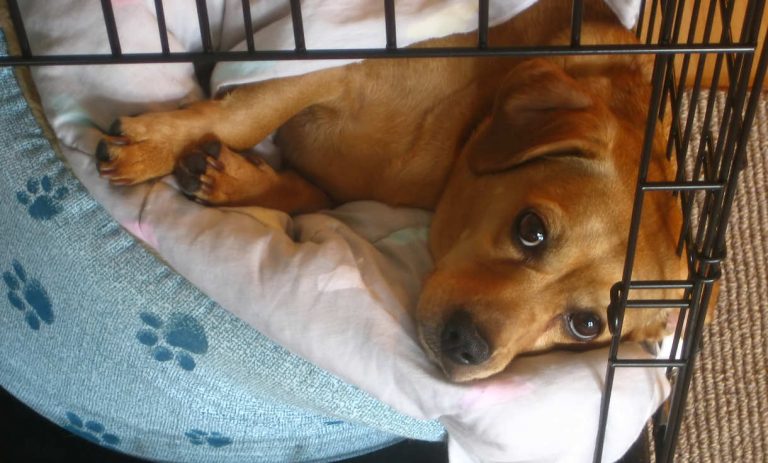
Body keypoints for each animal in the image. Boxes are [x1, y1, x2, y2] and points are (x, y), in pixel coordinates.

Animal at [93, 0, 688, 382]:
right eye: (531, 229)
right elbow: (246, 115)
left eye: (586, 325)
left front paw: (237, 180)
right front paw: (154, 146)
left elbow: (313, 194)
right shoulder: (331, 61)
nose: (467, 347)